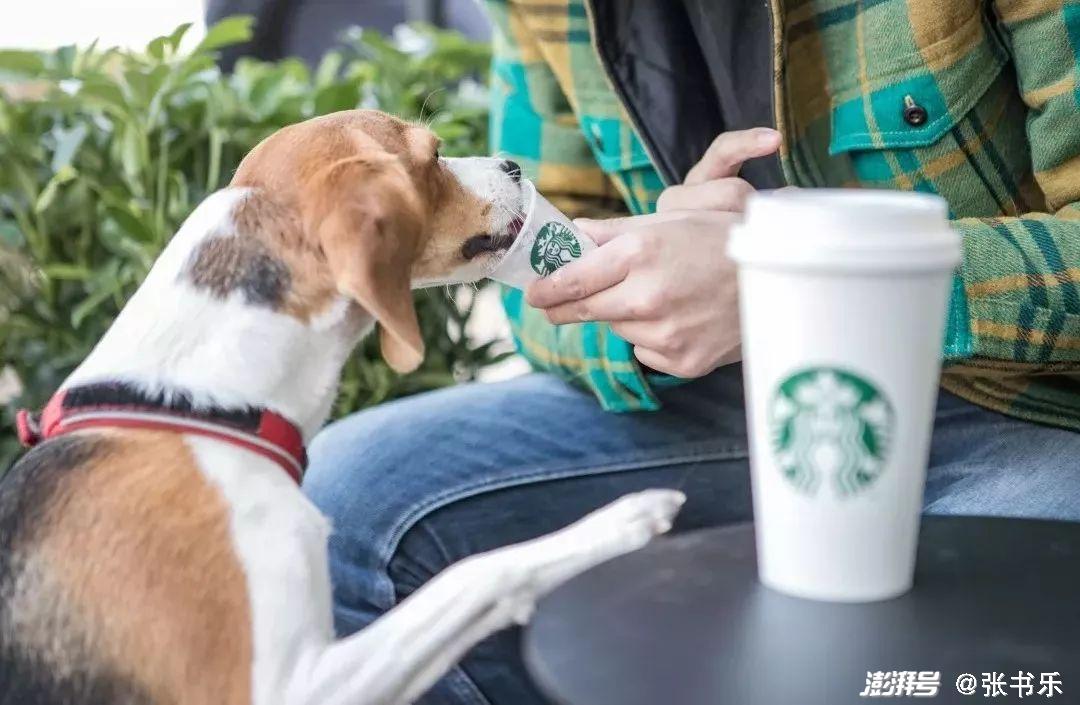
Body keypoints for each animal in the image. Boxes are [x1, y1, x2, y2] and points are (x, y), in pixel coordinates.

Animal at [0, 111, 682, 703]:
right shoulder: (289, 686)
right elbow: (477, 573)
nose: (513, 165)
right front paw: (619, 522)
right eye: (434, 155)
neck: (198, 404)